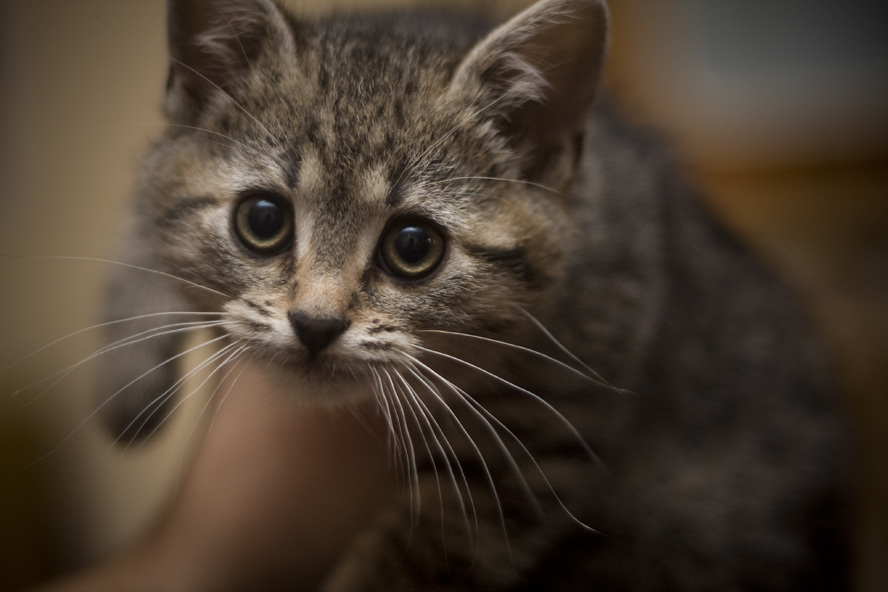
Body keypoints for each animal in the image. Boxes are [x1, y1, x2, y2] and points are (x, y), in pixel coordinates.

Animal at [95, 0, 848, 588]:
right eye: (262, 220)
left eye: (413, 246)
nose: (315, 323)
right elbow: (144, 196)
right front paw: (125, 378)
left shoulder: (548, 434)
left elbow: (427, 553)